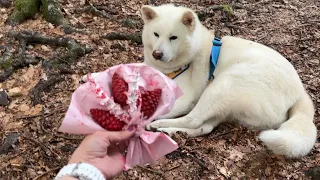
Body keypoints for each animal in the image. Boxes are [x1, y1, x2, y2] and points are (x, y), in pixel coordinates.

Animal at [141, 3, 318, 158]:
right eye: (156, 34)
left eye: (173, 37)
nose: (157, 54)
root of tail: (300, 94)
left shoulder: (186, 97)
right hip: (225, 105)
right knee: (204, 127)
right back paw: (167, 131)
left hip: (224, 83)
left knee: (193, 120)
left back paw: (159, 125)